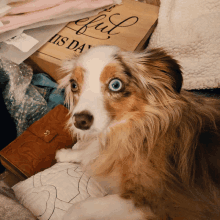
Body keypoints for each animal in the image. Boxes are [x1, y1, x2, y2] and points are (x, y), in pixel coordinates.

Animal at [55, 45, 220, 219]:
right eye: (74, 85)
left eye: (115, 84)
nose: (80, 121)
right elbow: (89, 152)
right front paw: (66, 153)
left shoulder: (150, 200)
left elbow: (78, 207)